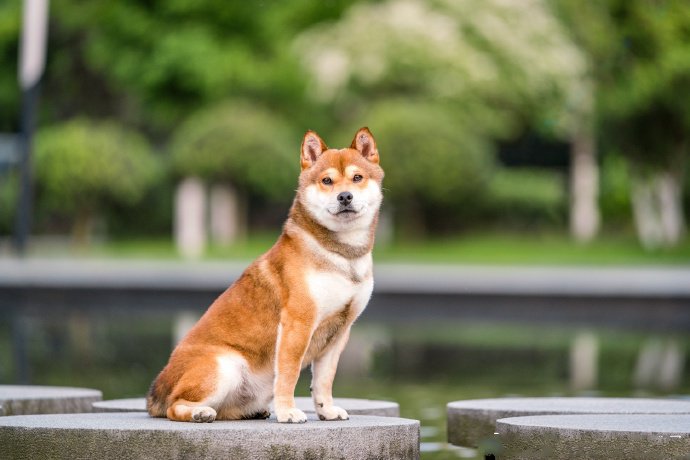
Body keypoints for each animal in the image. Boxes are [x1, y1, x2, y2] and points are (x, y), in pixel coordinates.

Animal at [146, 127, 382, 422]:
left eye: (357, 177)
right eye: (327, 181)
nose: (345, 197)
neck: (343, 256)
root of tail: (157, 389)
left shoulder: (339, 332)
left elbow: (324, 379)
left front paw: (326, 410)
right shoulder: (298, 324)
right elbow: (289, 375)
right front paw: (288, 411)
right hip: (225, 365)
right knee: (174, 406)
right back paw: (200, 412)